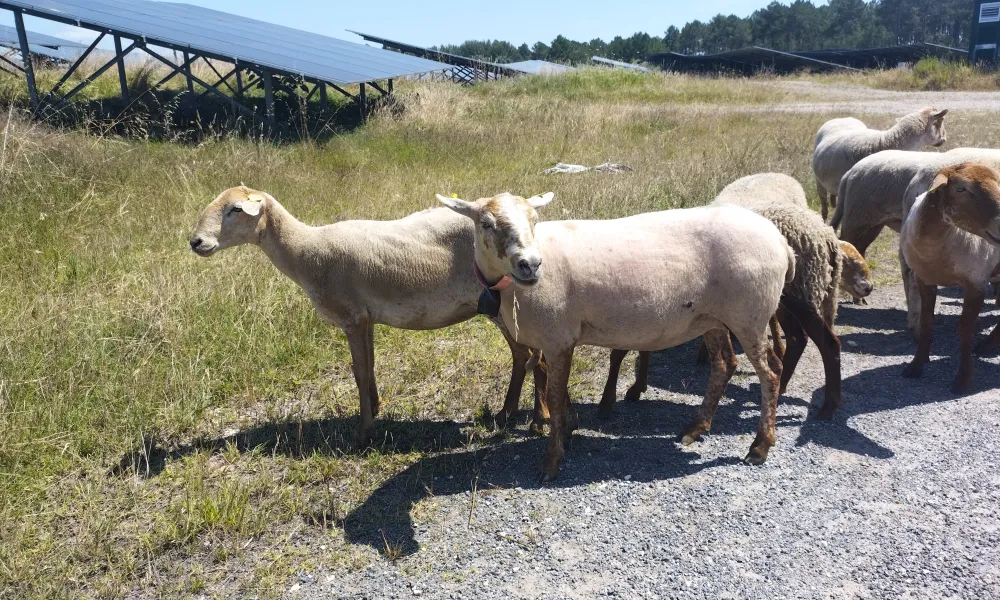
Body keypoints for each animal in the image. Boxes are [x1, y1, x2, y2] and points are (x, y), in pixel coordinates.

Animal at [189, 186, 546, 446]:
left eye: (235, 209)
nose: (196, 242)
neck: (305, 251)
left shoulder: (352, 317)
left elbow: (359, 372)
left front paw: (363, 433)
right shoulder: (367, 318)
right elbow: (370, 366)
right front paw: (375, 408)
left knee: (532, 357)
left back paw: (535, 420)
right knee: (525, 355)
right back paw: (511, 414)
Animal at [439, 191, 794, 481]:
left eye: (534, 221)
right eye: (486, 224)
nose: (531, 265)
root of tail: (780, 241)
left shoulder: (557, 336)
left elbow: (554, 397)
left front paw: (551, 461)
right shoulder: (557, 338)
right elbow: (560, 394)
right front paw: (569, 429)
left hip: (750, 314)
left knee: (771, 373)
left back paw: (760, 447)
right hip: (712, 318)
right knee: (724, 364)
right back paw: (695, 429)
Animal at [600, 173, 844, 421]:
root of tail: (826, 237)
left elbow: (620, 351)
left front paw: (610, 399)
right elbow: (642, 346)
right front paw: (636, 387)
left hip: (799, 292)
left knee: (825, 342)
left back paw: (827, 405)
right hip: (783, 298)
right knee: (797, 338)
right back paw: (784, 387)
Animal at [812, 107, 948, 221]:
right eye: (941, 121)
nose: (944, 139)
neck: (886, 142)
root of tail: (841, 118)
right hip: (820, 182)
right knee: (824, 205)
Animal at [899, 163, 1000, 393]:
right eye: (960, 189)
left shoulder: (975, 282)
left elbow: (965, 330)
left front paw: (963, 379)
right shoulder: (924, 279)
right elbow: (926, 322)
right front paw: (916, 365)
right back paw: (988, 345)